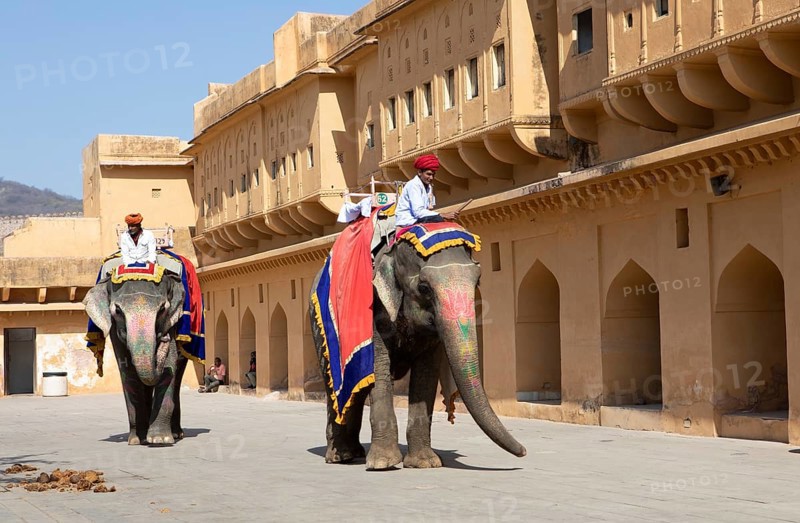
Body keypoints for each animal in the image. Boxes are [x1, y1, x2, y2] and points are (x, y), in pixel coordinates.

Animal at [84, 270, 188, 445]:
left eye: (162, 309)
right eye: (118, 311)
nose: (164, 338)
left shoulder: (172, 321)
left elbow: (171, 363)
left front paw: (160, 439)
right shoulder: (115, 329)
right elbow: (126, 369)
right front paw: (137, 440)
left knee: (178, 375)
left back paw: (175, 434)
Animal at [310, 230, 527, 470]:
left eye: (478, 280)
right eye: (424, 288)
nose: (524, 452)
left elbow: (426, 375)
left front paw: (425, 463)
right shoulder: (374, 310)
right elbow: (379, 368)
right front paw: (383, 464)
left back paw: (354, 453)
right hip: (320, 329)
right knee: (336, 386)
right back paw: (341, 457)